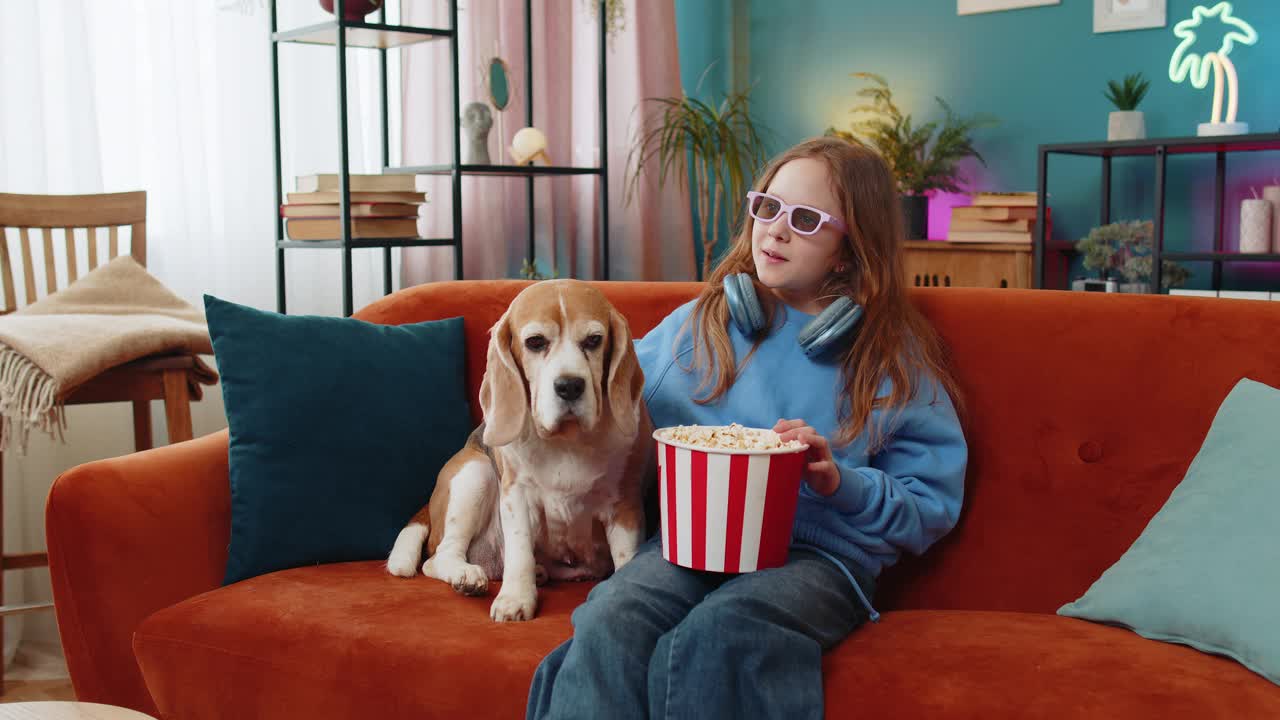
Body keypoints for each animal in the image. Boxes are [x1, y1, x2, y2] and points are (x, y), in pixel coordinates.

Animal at [384, 278, 650, 620]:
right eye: (535, 342)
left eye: (594, 340)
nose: (569, 386)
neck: (567, 441)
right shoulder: (517, 495)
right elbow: (520, 550)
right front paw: (515, 598)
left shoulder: (624, 504)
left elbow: (627, 558)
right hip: (476, 472)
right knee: (439, 556)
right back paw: (466, 575)